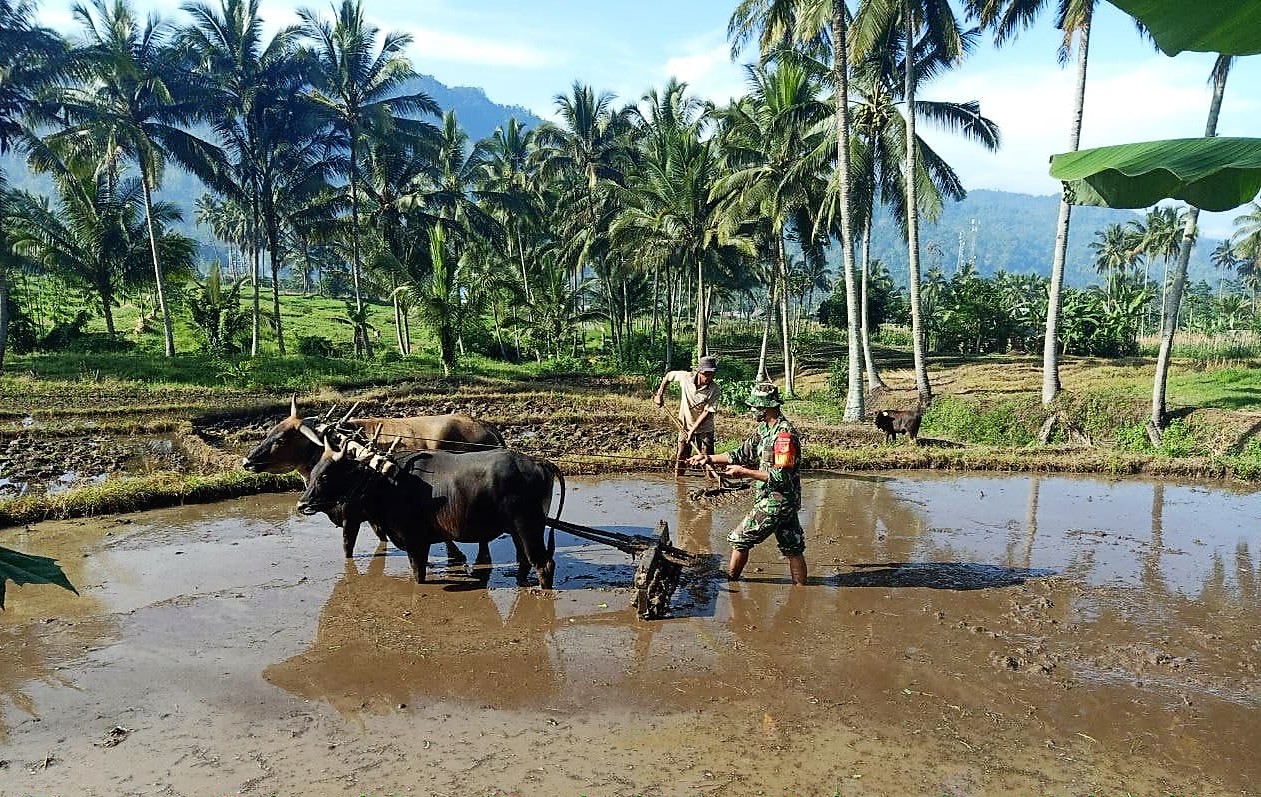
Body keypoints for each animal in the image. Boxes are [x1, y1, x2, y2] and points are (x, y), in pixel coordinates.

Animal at [239, 395, 501, 559]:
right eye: (271, 431)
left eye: (282, 439)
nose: (246, 461)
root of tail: (486, 426)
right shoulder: (373, 517)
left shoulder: (351, 517)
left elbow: (348, 550)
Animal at [295, 438, 562, 587]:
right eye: (314, 471)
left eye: (325, 476)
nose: (301, 505)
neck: (386, 481)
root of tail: (539, 463)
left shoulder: (415, 542)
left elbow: (418, 574)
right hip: (518, 531)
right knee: (525, 561)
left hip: (529, 528)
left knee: (544, 564)